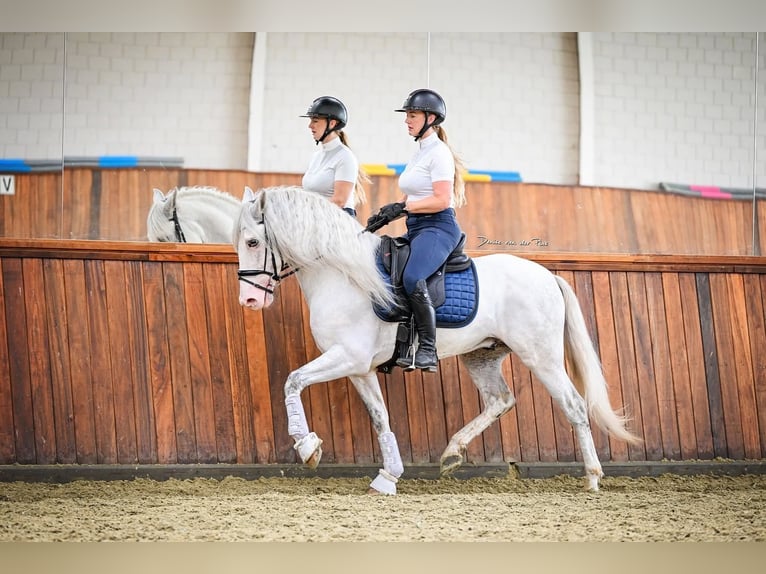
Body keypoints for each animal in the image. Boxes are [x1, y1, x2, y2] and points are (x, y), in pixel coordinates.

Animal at [236, 187, 640, 498]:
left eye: (253, 241)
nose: (249, 300)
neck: (344, 275)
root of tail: (547, 275)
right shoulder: (359, 368)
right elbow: (380, 418)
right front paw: (388, 477)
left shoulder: (347, 357)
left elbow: (292, 381)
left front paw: (308, 448)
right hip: (482, 356)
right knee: (501, 399)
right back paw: (452, 453)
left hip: (542, 357)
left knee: (574, 405)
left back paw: (592, 477)